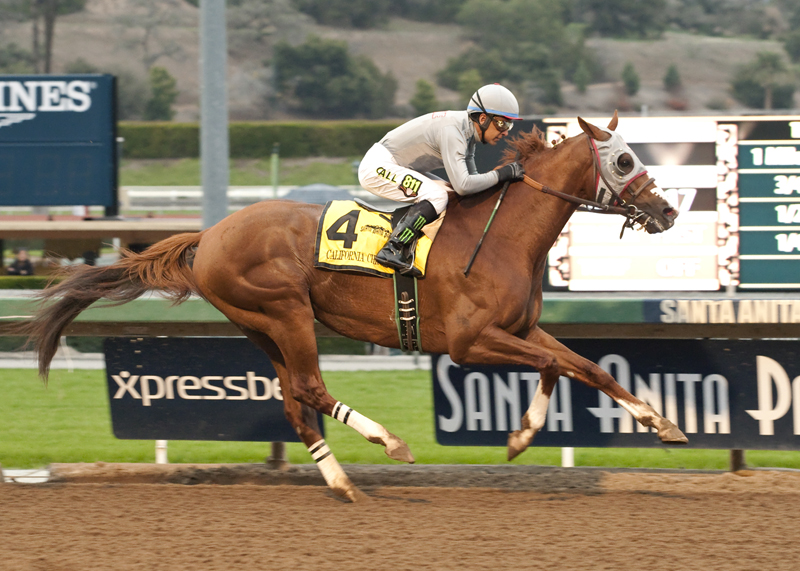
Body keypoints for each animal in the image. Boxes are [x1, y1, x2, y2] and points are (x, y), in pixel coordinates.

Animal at [15, 115, 684, 500]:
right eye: (624, 159)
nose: (669, 211)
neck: (501, 234)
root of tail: (210, 234)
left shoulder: (521, 328)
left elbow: (581, 366)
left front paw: (658, 424)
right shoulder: (470, 342)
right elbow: (558, 367)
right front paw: (523, 436)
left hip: (262, 326)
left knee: (295, 401)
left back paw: (339, 481)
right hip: (285, 311)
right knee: (310, 387)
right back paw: (389, 443)